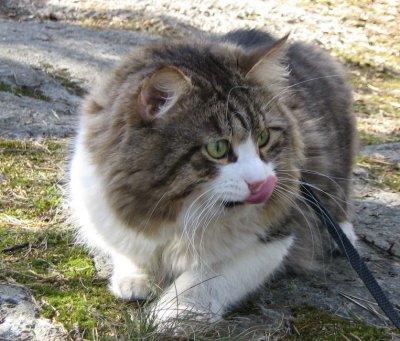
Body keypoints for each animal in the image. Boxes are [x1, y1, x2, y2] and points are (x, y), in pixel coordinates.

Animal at [67, 28, 358, 324]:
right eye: (218, 148)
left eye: (264, 138)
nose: (262, 183)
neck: (179, 212)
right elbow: (129, 249)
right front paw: (137, 278)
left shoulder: (277, 234)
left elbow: (205, 279)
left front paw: (172, 312)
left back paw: (340, 235)